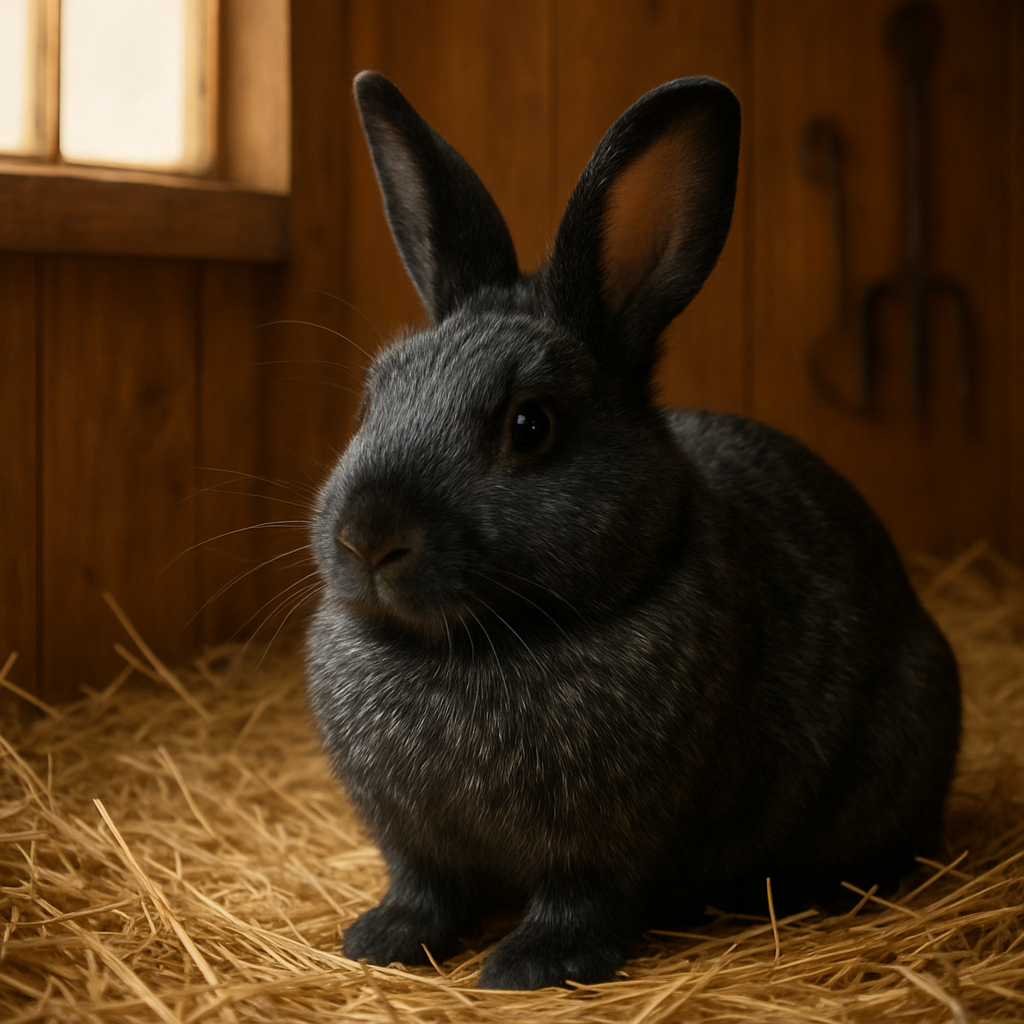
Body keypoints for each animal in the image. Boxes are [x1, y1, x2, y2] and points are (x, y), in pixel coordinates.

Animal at [305, 71, 961, 991]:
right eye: (374, 398)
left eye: (531, 426)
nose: (369, 538)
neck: (477, 645)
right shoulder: (415, 842)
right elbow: (424, 889)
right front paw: (383, 940)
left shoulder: (610, 846)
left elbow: (583, 900)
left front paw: (528, 967)